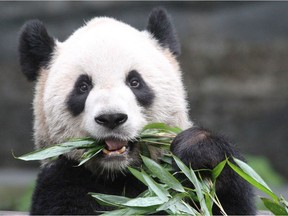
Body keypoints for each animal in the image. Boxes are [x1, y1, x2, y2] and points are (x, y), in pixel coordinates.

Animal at [18, 7, 254, 215]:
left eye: (135, 82)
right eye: (83, 87)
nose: (111, 118)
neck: (120, 174)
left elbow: (221, 201)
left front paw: (198, 150)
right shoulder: (64, 176)